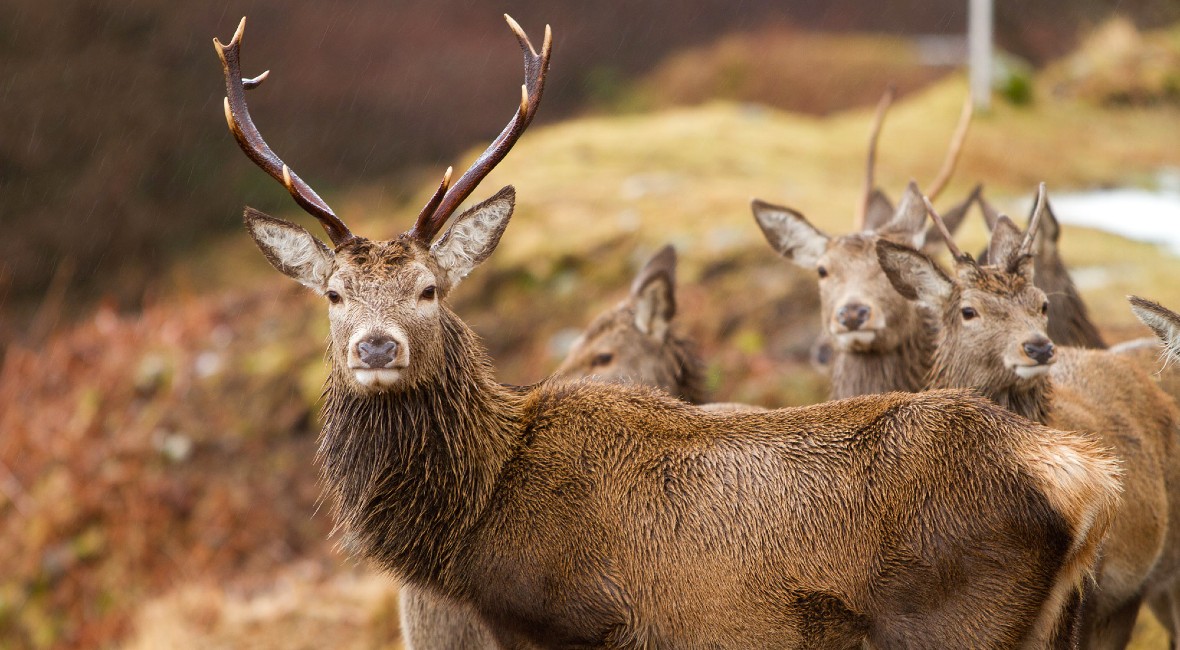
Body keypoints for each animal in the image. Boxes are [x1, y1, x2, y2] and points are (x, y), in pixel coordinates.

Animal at [216, 17, 1123, 647]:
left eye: (430, 289)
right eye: (333, 294)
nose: (376, 347)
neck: (479, 515)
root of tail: (1084, 481)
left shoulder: (579, 621)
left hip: (958, 619)